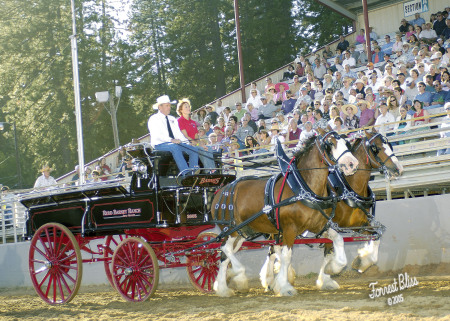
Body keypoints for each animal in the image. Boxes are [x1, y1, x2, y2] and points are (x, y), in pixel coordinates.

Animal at [210, 127, 358, 296]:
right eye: (330, 144)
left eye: (346, 142)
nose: (352, 163)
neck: (302, 187)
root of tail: (220, 192)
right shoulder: (289, 229)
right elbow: (286, 256)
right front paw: (285, 286)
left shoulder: (318, 227)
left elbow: (338, 240)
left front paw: (333, 269)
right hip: (231, 230)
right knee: (225, 249)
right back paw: (237, 276)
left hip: (243, 232)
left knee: (224, 255)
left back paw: (222, 288)